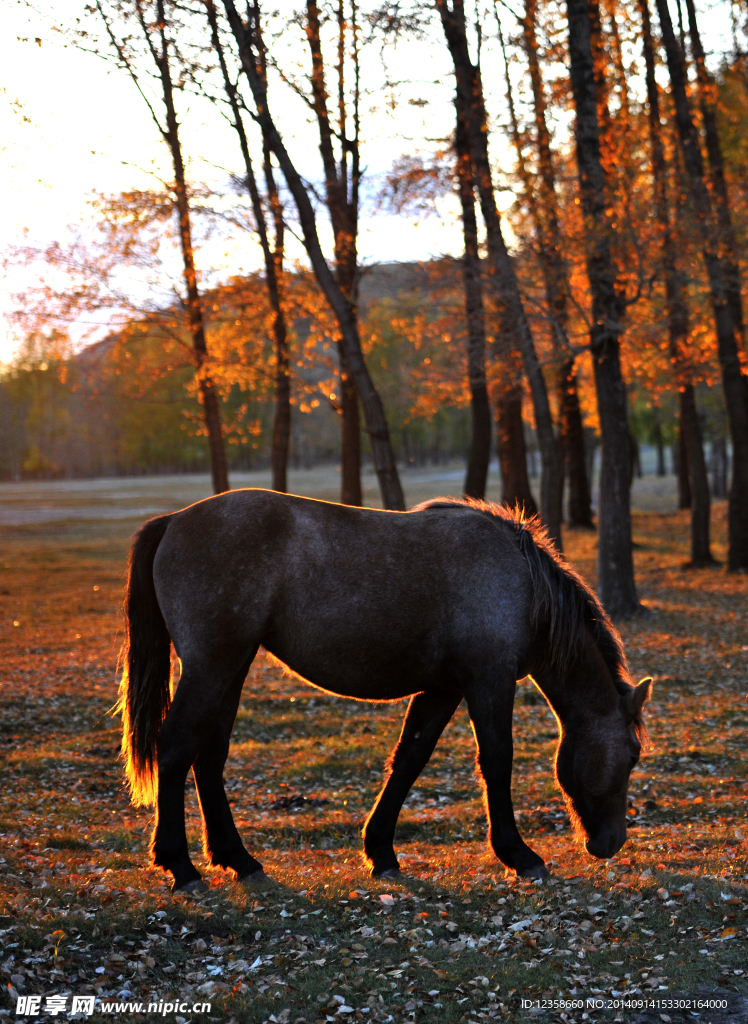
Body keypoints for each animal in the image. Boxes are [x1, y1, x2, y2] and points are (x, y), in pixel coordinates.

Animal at [116, 491, 647, 892]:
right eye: (633, 754)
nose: (612, 842)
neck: (520, 582)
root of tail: (173, 521)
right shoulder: (487, 681)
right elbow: (497, 761)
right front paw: (518, 854)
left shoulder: (444, 687)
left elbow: (410, 758)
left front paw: (381, 852)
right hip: (212, 668)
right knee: (175, 747)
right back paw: (180, 866)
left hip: (231, 667)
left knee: (209, 758)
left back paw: (239, 860)